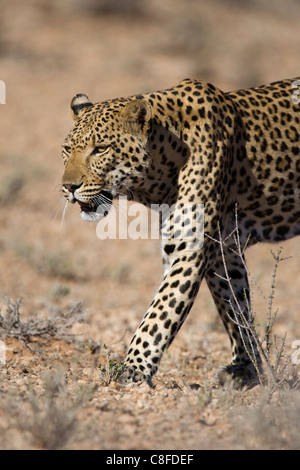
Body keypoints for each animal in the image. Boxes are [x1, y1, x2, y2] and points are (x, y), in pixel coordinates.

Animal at [61, 76, 300, 386]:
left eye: (100, 149)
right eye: (67, 149)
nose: (68, 187)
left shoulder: (189, 250)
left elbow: (160, 313)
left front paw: (132, 368)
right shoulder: (224, 251)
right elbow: (236, 309)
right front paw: (247, 369)